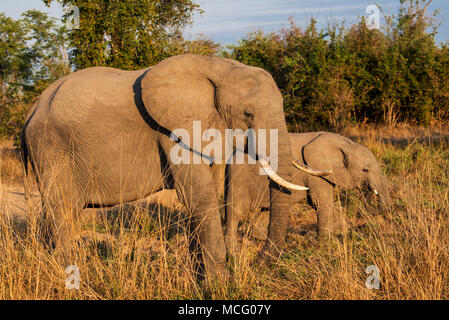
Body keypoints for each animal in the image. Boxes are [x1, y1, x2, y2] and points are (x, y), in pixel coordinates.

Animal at [20, 54, 312, 278]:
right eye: (248, 114)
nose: (258, 264)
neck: (220, 68)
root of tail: (32, 110)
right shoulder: (174, 130)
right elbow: (199, 195)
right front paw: (220, 284)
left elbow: (207, 193)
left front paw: (199, 278)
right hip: (52, 148)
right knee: (63, 211)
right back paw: (69, 277)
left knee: (59, 213)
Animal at [224, 131, 388, 251]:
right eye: (365, 170)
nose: (371, 208)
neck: (344, 143)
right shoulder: (314, 170)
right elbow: (320, 202)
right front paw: (325, 242)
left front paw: (343, 232)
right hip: (239, 178)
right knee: (235, 211)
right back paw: (235, 250)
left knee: (266, 209)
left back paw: (260, 238)